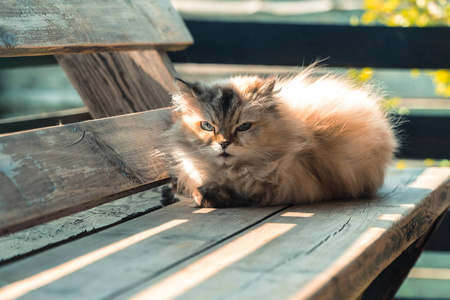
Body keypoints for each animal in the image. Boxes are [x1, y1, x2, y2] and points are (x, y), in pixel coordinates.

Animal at [158, 66, 398, 207]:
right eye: (207, 126)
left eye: (244, 127)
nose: (224, 143)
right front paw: (175, 193)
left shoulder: (283, 187)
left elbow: (241, 193)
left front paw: (207, 196)